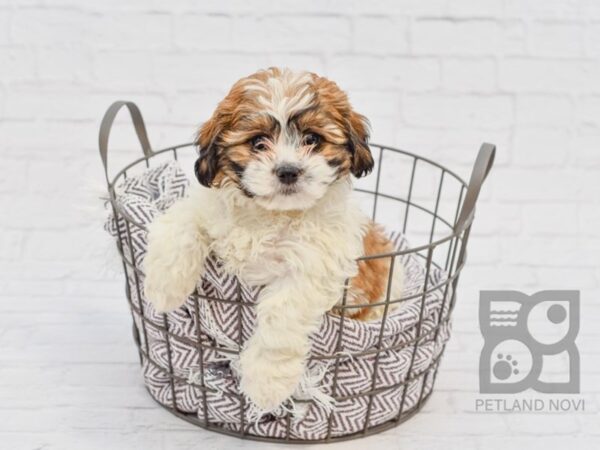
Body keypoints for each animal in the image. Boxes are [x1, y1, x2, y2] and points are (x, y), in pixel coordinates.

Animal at [143, 67, 404, 414]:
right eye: (258, 142)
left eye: (312, 140)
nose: (288, 170)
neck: (272, 215)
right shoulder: (209, 209)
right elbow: (183, 222)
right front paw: (164, 287)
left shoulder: (312, 268)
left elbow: (281, 317)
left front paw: (265, 383)